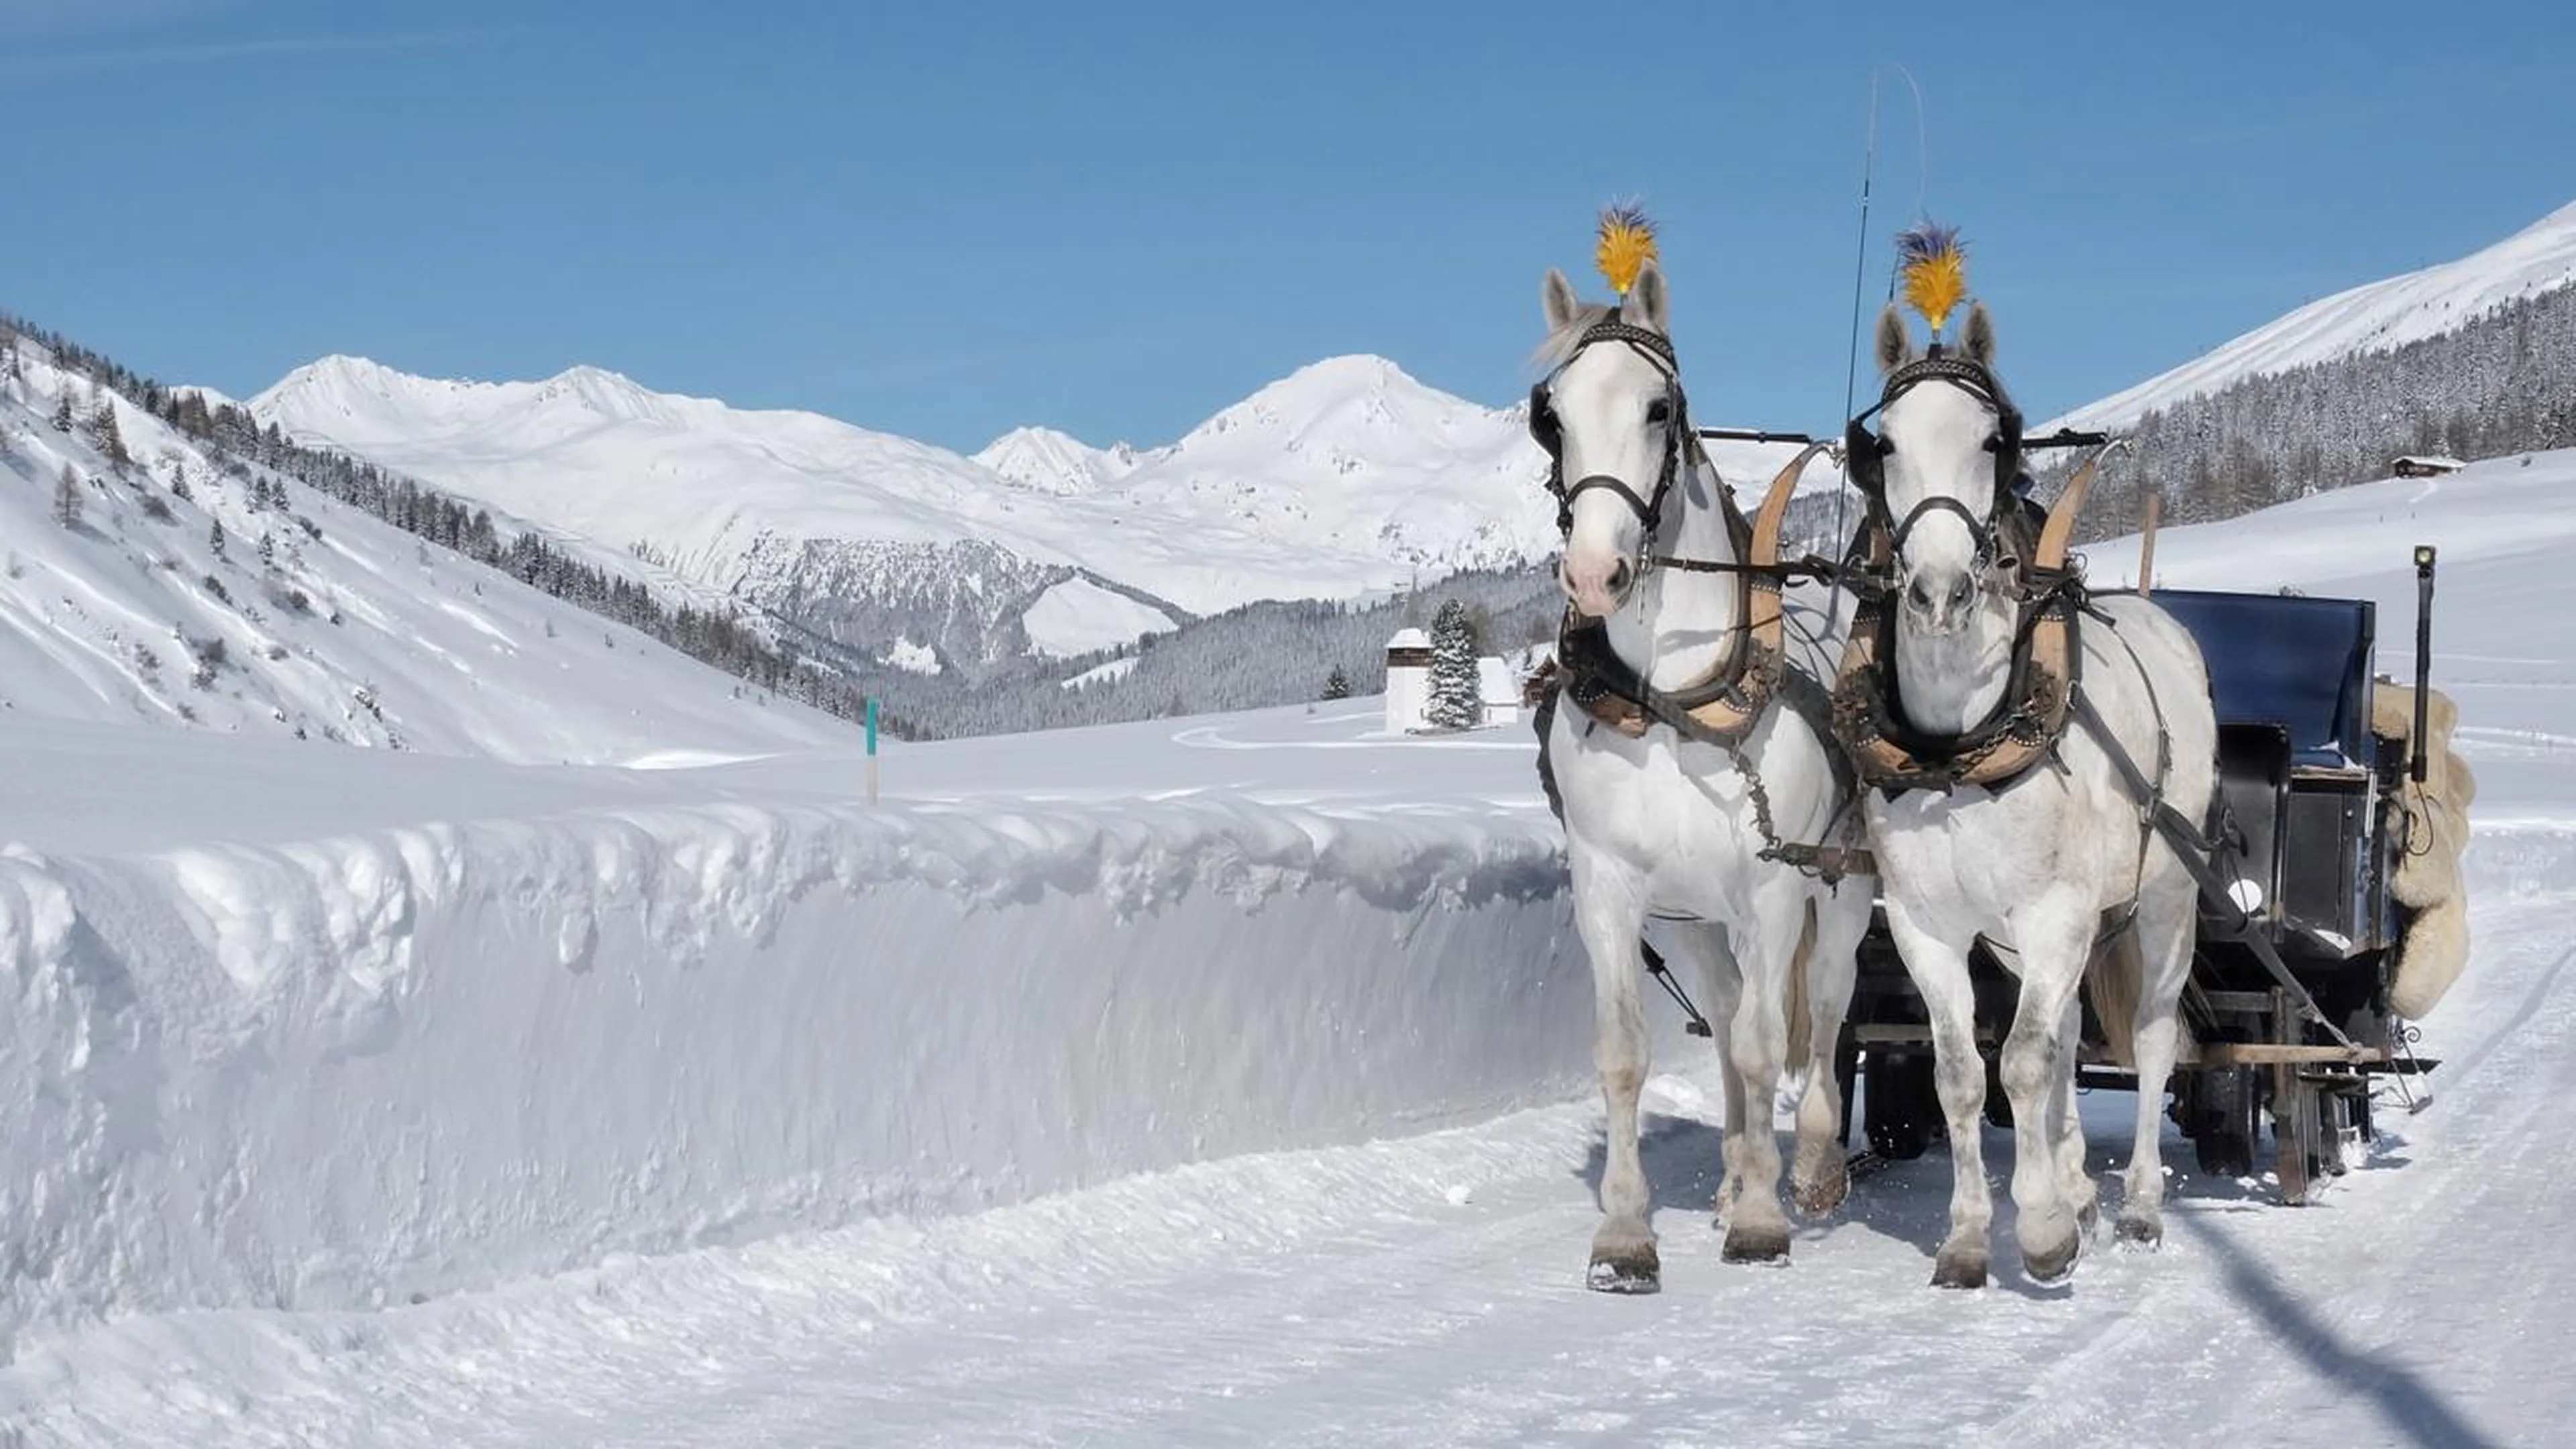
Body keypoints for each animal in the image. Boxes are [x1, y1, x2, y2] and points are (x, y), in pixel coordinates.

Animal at [1528, 257, 1877, 1291]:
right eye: (1550, 415)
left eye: (1659, 407)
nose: (1594, 573)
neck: (1672, 702)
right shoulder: (1609, 885)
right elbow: (1626, 1054)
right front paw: (1624, 1234)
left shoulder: (1772, 889)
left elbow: (1769, 1048)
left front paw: (1762, 1217)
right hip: (1696, 925)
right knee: (1723, 1019)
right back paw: (1732, 1171)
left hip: (1837, 891)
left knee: (1826, 1008)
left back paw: (1809, 1168)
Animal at [1834, 299, 2217, 1289]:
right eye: (1882, 444)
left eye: (1992, 439)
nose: (1938, 595)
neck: (1954, 749)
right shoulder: (1931, 926)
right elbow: (1966, 1073)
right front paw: (1974, 1235)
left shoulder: (2055, 912)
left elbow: (2026, 1062)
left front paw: (2042, 1231)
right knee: (2076, 1026)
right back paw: (2081, 1185)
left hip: (2164, 899)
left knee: (2149, 1036)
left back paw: (2140, 1205)